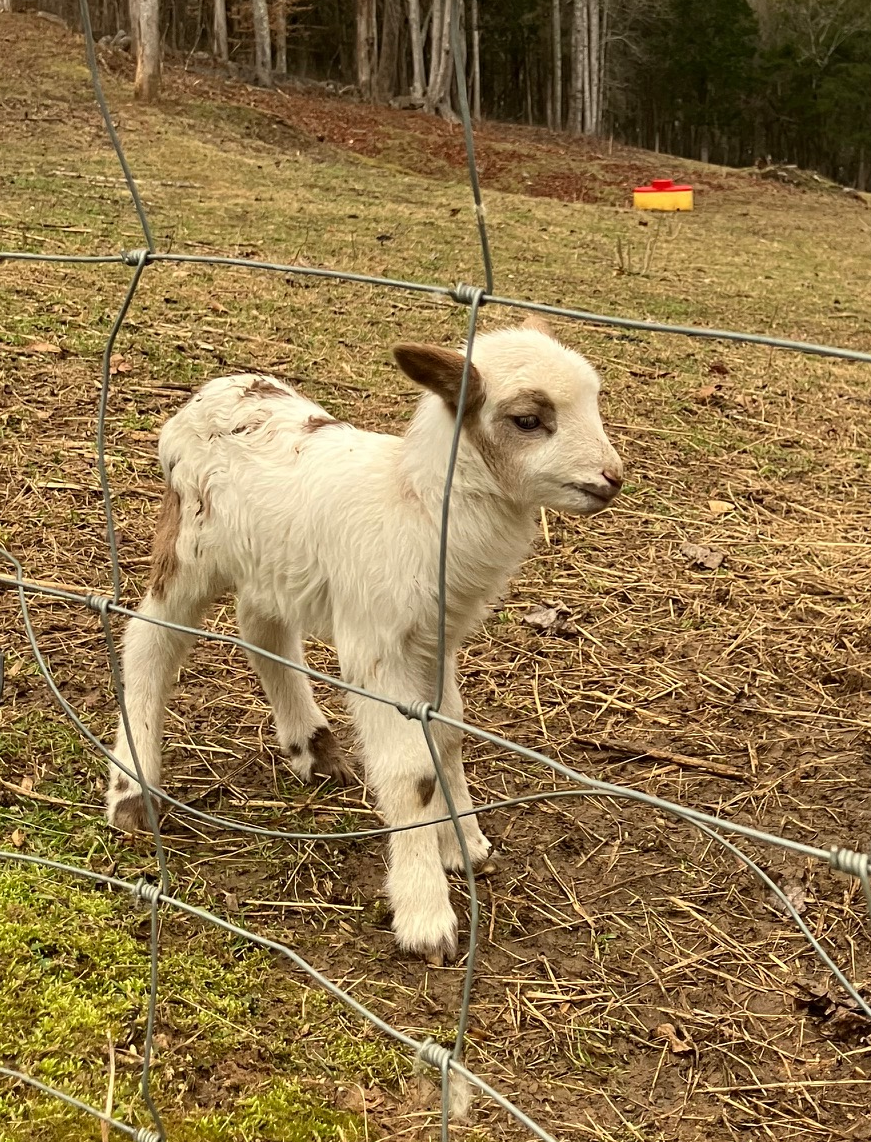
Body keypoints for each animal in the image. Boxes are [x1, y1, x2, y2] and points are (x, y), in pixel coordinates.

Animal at [106, 317, 623, 962]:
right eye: (528, 420)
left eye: (595, 400)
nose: (612, 478)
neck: (417, 510)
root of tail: (213, 391)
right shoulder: (377, 648)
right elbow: (411, 771)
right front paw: (426, 914)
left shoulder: (433, 639)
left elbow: (447, 734)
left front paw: (463, 843)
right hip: (192, 544)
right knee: (148, 641)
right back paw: (132, 792)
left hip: (275, 561)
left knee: (262, 629)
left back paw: (313, 748)